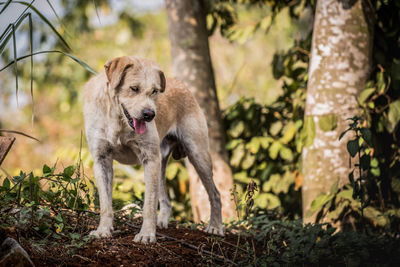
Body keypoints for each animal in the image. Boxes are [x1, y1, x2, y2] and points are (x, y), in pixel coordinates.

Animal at [83, 56, 223, 245]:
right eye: (134, 88)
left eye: (155, 91)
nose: (150, 114)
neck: (117, 120)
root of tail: (183, 85)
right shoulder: (101, 160)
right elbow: (105, 203)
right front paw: (103, 230)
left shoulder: (149, 158)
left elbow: (148, 205)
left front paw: (146, 234)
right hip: (161, 163)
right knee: (165, 199)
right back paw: (162, 221)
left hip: (197, 154)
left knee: (215, 194)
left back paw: (215, 227)